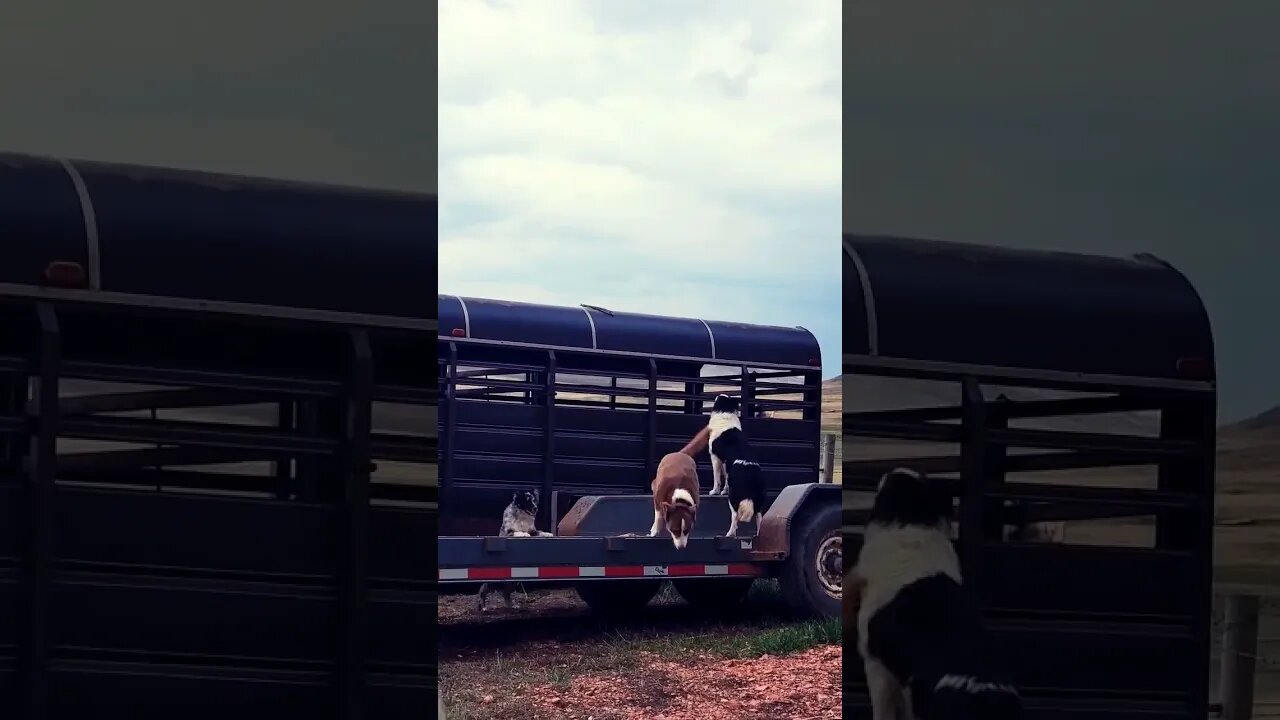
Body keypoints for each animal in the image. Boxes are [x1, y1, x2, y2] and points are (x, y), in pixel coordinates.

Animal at [706, 392, 762, 538]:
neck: (726, 413)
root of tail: (750, 475)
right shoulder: (726, 464)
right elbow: (725, 478)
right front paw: (723, 491)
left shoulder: (715, 458)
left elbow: (717, 479)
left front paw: (714, 492)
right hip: (758, 500)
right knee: (759, 517)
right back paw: (759, 535)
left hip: (734, 498)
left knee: (735, 516)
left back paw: (730, 534)